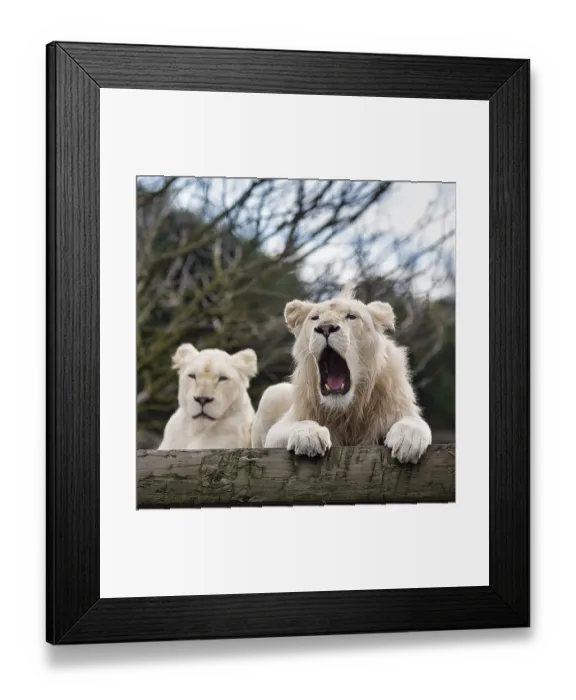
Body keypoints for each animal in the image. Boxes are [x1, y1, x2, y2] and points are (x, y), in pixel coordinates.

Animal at [251, 292, 432, 464]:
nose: (325, 328)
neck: (346, 412)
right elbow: (296, 425)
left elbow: (414, 422)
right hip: (273, 392)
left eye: (351, 316)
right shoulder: (278, 432)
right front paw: (309, 435)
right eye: (314, 318)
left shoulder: (398, 408)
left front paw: (408, 441)